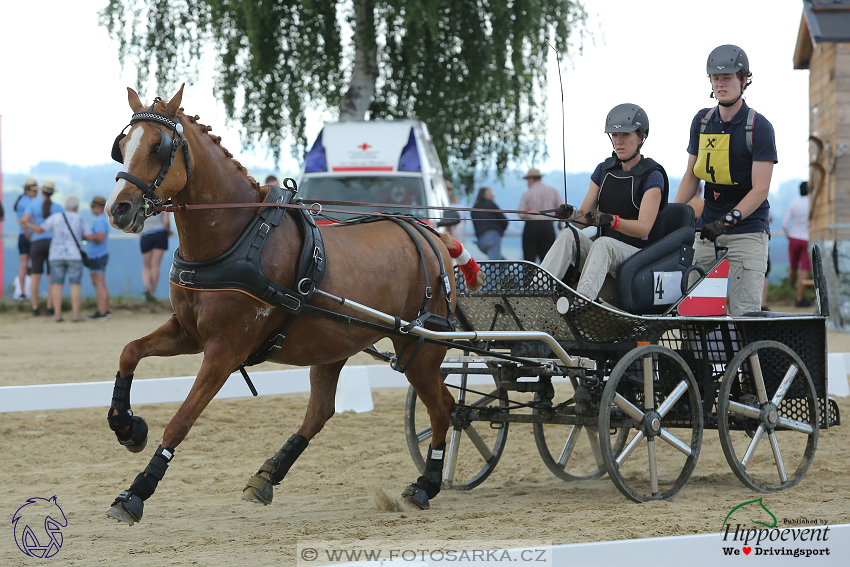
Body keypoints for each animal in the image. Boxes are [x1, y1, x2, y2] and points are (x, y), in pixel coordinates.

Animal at [105, 86, 454, 524]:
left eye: (158, 147)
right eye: (122, 146)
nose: (118, 209)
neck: (236, 236)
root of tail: (434, 238)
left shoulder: (225, 350)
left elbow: (181, 421)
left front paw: (136, 492)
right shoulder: (188, 333)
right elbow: (129, 352)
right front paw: (126, 427)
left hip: (419, 350)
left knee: (444, 408)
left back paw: (426, 484)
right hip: (334, 346)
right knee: (321, 412)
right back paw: (267, 476)